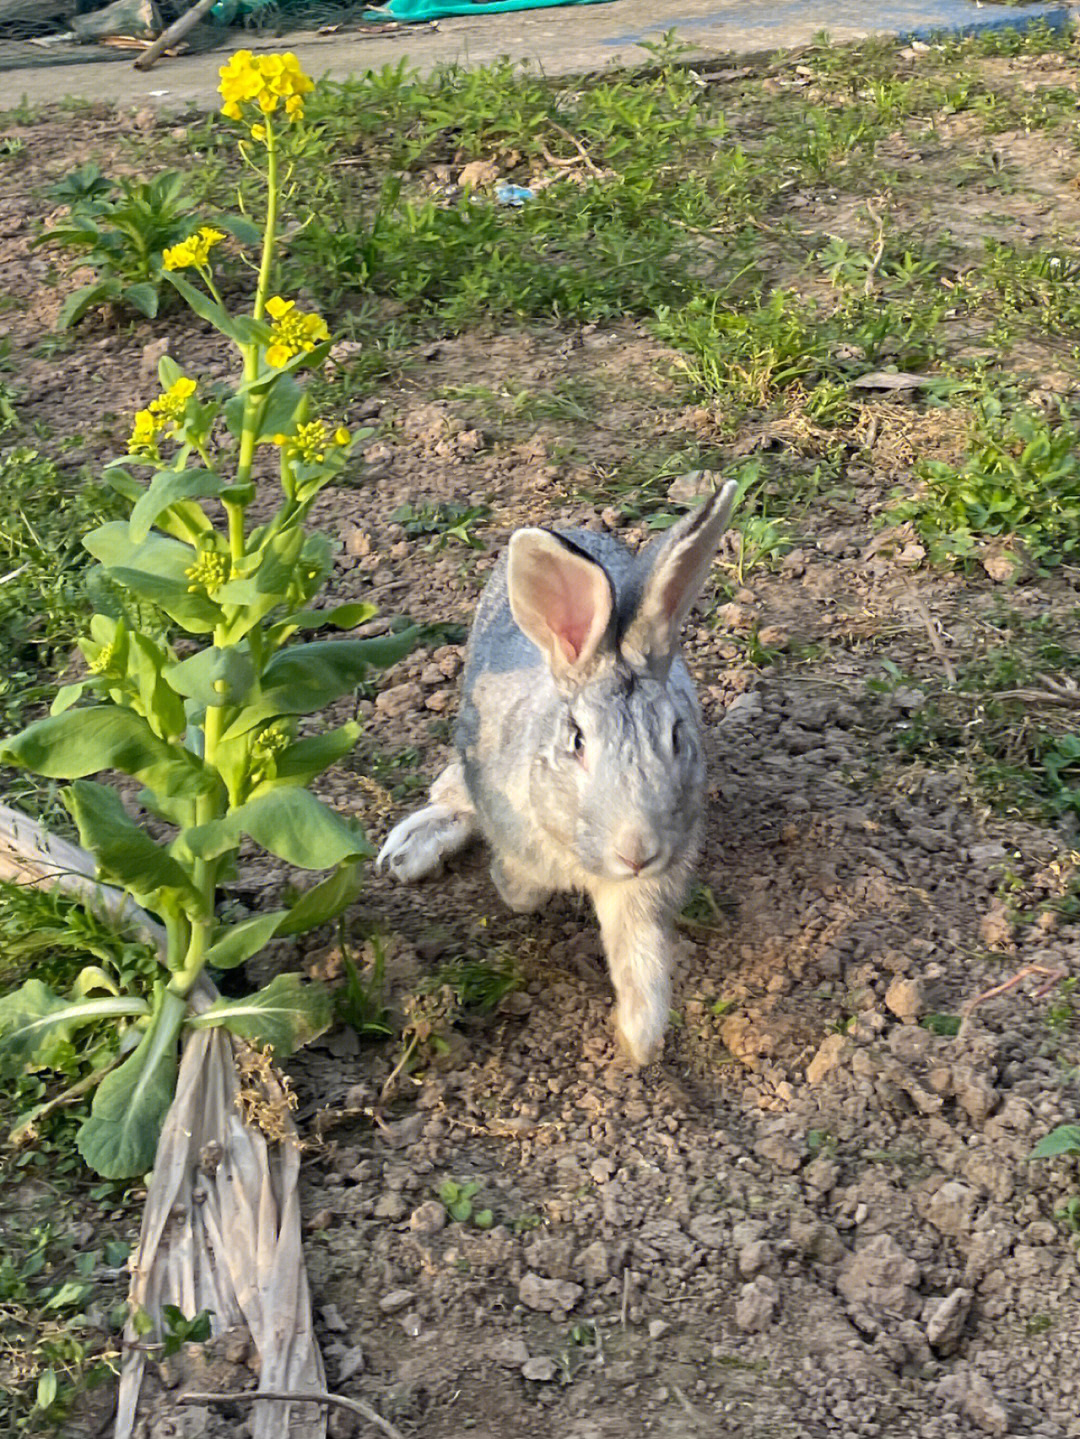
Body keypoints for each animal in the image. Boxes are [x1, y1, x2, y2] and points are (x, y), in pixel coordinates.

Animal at [376, 486, 742, 1070]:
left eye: (677, 736)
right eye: (577, 742)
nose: (637, 852)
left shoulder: (647, 887)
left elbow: (641, 955)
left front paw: (639, 1041)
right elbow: (522, 891)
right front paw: (508, 885)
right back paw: (410, 849)